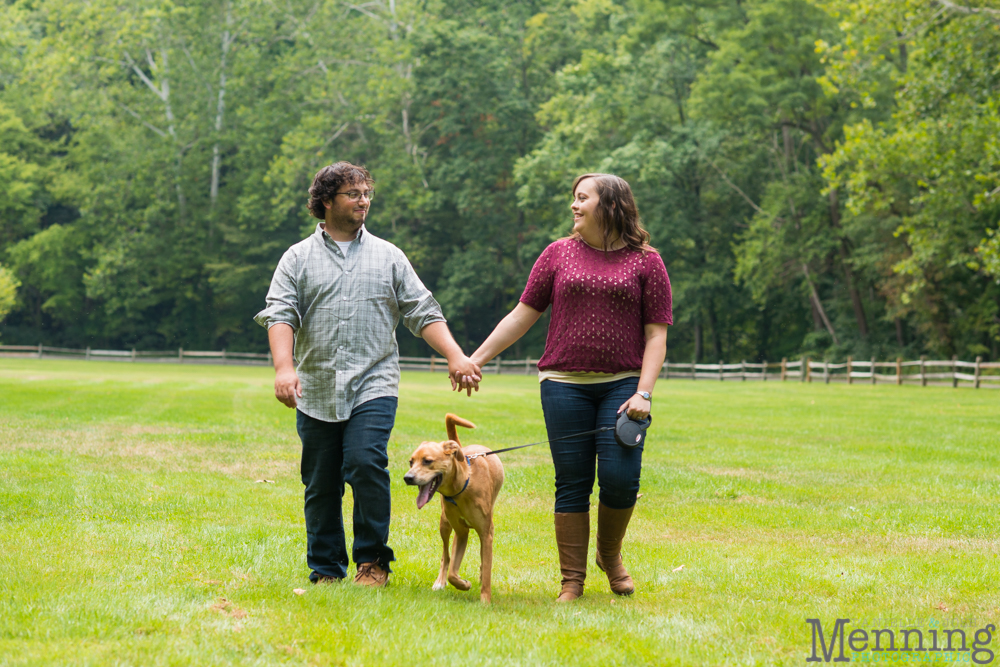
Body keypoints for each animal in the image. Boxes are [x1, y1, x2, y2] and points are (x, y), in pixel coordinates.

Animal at [402, 414, 504, 604]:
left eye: (427, 461)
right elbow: (452, 573)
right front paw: (463, 584)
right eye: (411, 462)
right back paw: (440, 581)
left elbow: (487, 567)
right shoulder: (461, 532)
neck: (462, 487)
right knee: (446, 555)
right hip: (445, 524)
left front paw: (485, 600)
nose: (408, 477)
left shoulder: (485, 533)